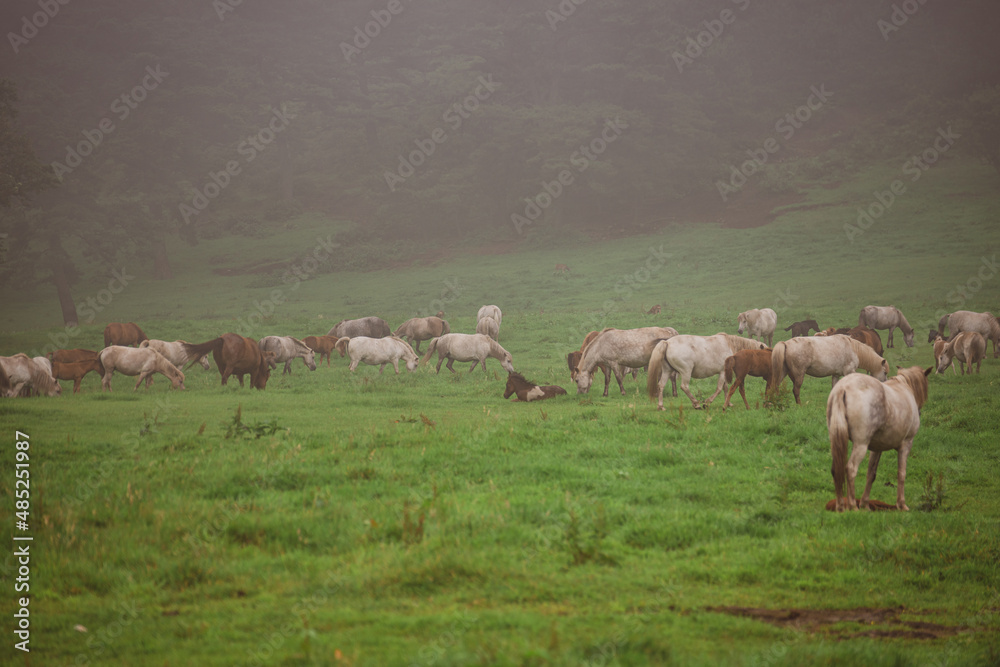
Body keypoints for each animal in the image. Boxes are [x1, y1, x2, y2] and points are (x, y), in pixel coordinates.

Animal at [828, 366, 932, 512]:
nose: (920, 412)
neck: (904, 387)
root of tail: (843, 387)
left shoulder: (877, 448)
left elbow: (871, 474)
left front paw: (865, 504)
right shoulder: (906, 444)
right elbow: (901, 473)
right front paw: (901, 504)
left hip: (836, 441)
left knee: (836, 469)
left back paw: (841, 506)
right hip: (861, 445)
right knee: (851, 469)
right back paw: (853, 506)